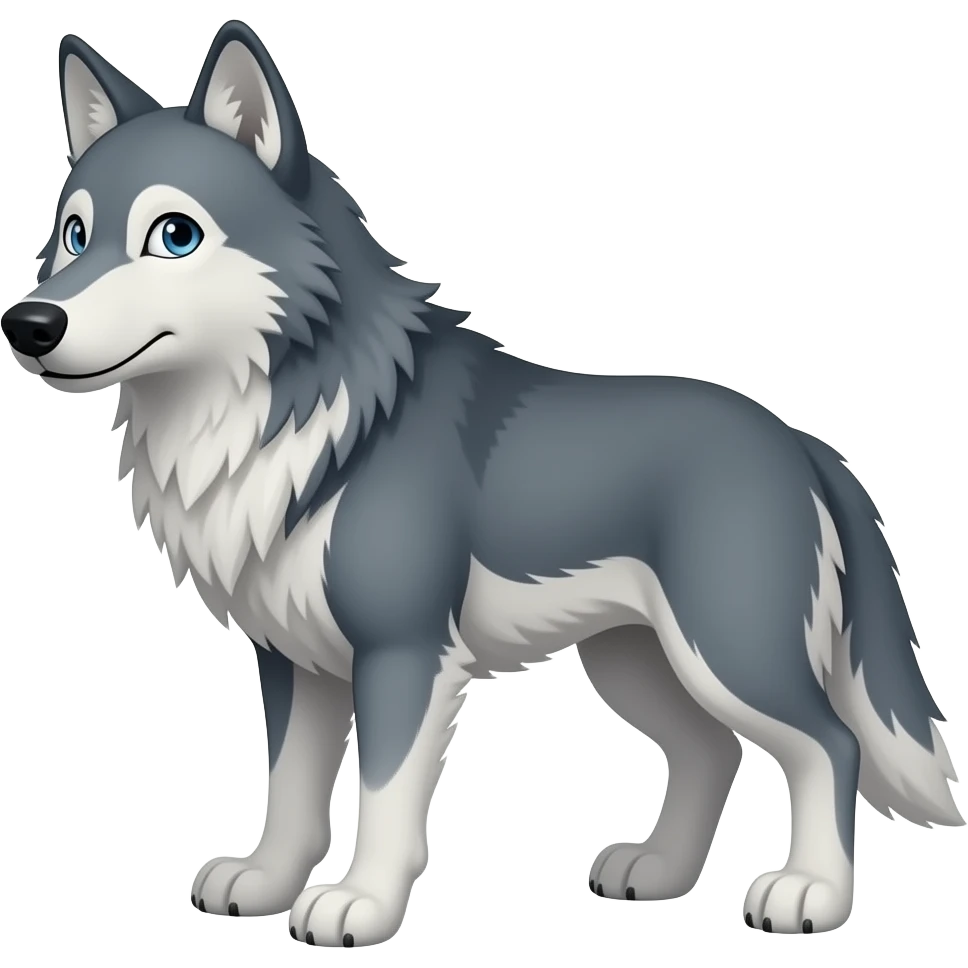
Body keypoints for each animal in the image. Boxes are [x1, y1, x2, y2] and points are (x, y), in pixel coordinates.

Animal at [2, 18, 962, 948]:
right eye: (74, 235)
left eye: (175, 235)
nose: (29, 323)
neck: (297, 420)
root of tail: (801, 441)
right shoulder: (292, 658)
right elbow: (290, 791)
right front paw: (268, 883)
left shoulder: (404, 653)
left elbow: (384, 797)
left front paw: (359, 906)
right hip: (634, 661)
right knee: (710, 753)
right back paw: (656, 873)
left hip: (727, 651)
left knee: (829, 744)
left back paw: (810, 896)